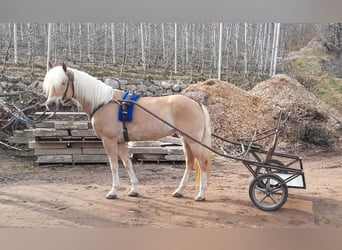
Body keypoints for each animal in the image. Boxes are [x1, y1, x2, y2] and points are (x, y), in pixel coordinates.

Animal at [42, 62, 211, 201]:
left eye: (63, 82)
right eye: (48, 84)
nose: (51, 104)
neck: (104, 102)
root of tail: (196, 103)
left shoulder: (109, 141)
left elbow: (114, 166)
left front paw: (113, 192)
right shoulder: (121, 142)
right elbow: (127, 164)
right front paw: (134, 190)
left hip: (193, 141)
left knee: (202, 163)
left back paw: (201, 195)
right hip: (185, 140)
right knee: (190, 164)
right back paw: (179, 191)